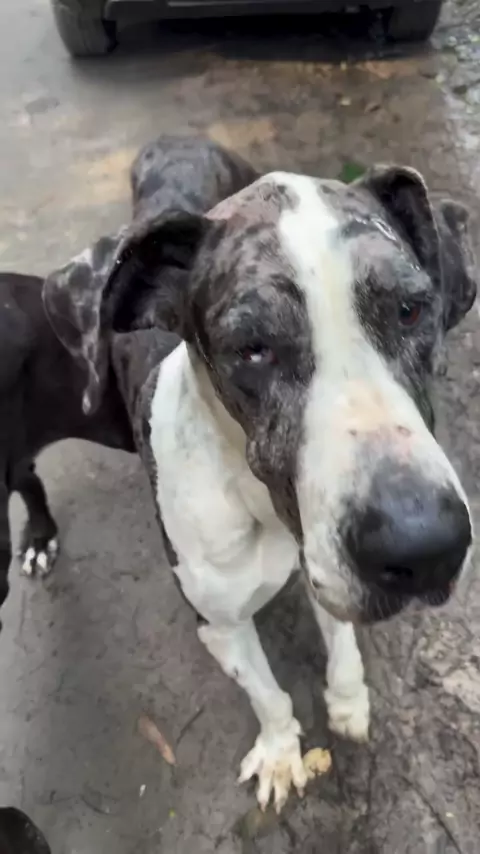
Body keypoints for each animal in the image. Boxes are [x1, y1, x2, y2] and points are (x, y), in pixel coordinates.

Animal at [43, 163, 477, 813]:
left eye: (409, 310)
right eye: (252, 350)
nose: (425, 548)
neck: (266, 511)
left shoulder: (324, 571)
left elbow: (341, 641)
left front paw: (348, 701)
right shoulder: (218, 624)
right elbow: (268, 694)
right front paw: (279, 752)